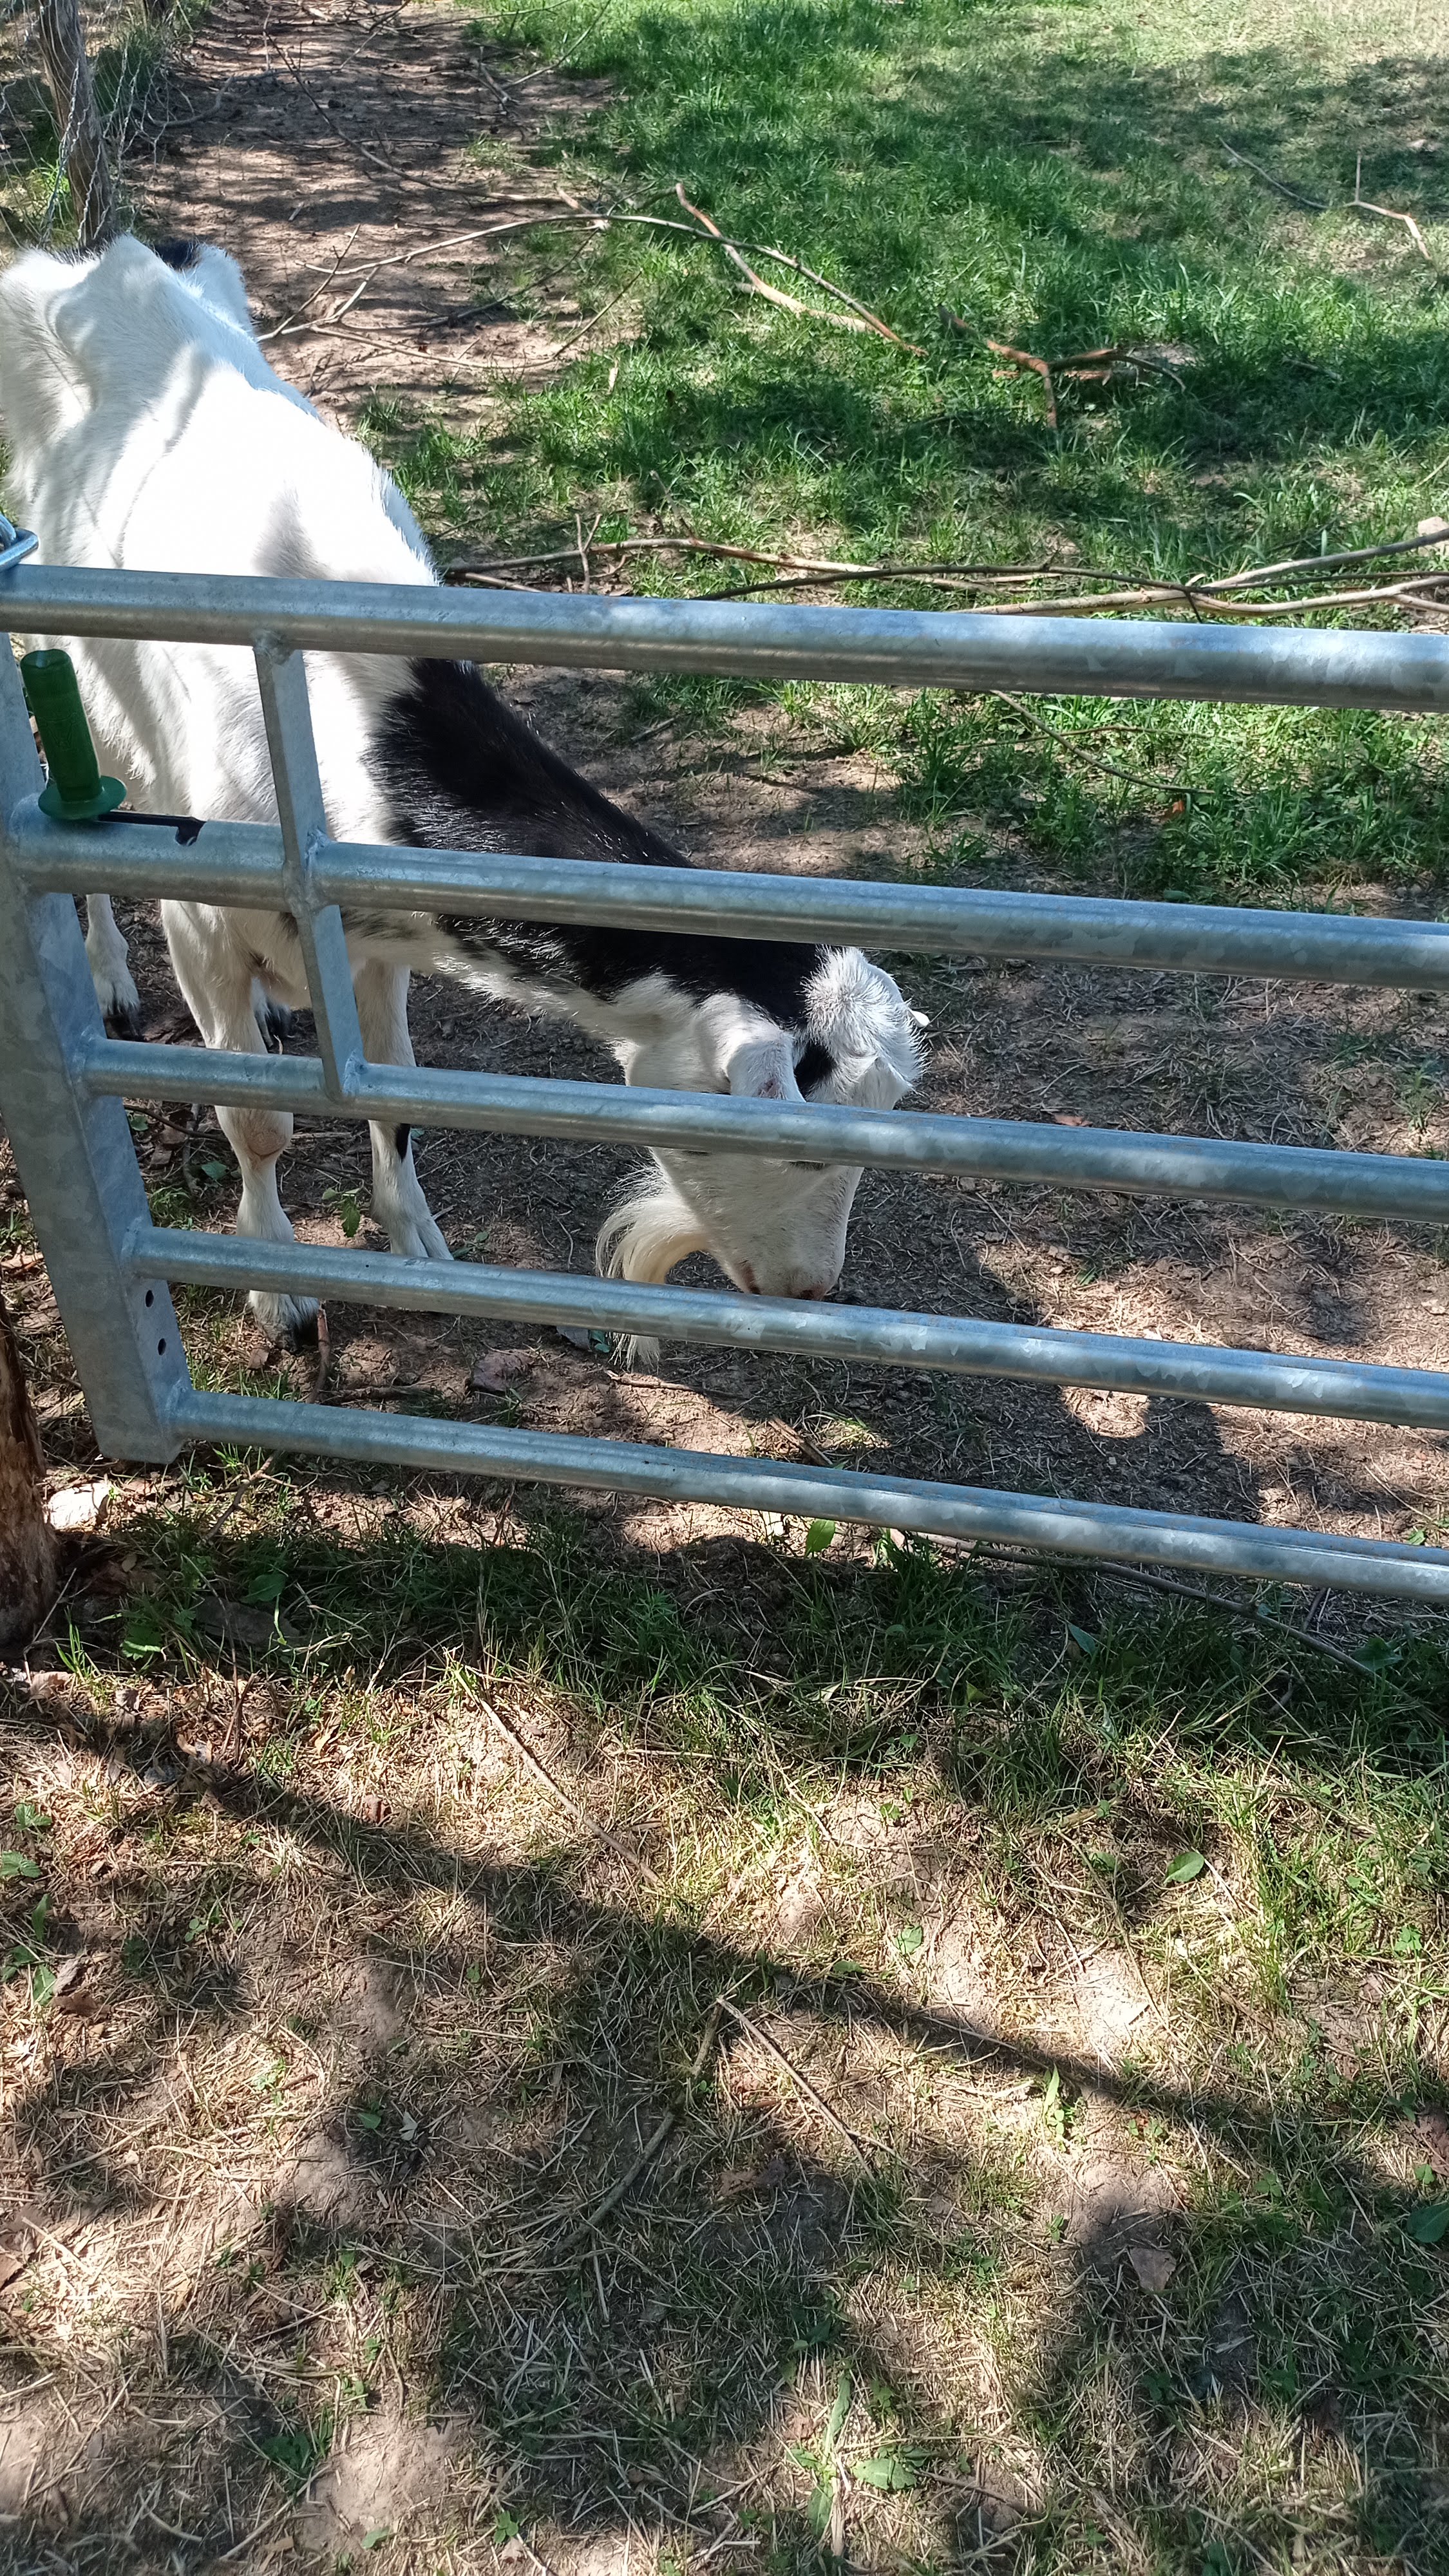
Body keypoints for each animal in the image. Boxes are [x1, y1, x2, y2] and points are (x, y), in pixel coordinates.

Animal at [0, 233, 925, 1342]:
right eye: (792, 1145)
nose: (812, 1288)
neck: (355, 713)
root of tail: (108, 259)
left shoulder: (373, 936)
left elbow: (391, 1097)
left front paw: (419, 1249)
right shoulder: (203, 923)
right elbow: (255, 1120)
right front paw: (278, 1286)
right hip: (56, 659)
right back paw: (105, 979)